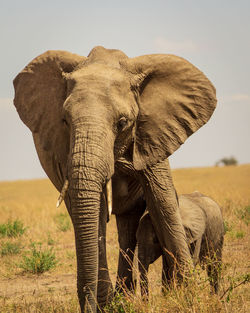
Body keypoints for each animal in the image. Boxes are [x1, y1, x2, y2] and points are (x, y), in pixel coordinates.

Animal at [13, 46, 217, 312]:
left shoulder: (154, 132)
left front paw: (188, 296)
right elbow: (96, 213)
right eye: (65, 121)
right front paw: (107, 304)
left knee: (130, 224)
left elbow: (163, 203)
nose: (89, 305)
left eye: (122, 123)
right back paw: (121, 298)